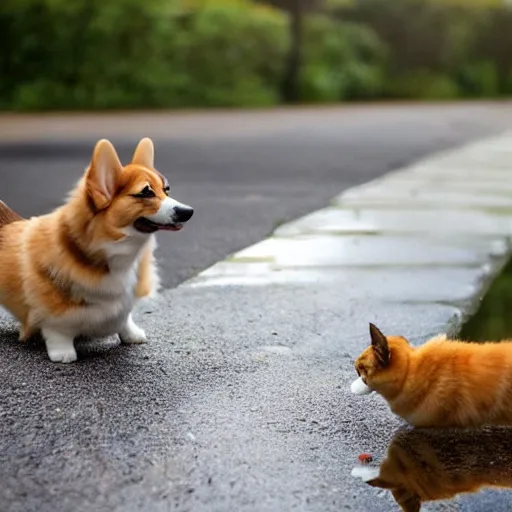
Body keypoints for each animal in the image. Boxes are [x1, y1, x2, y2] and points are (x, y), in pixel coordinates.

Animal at [0, 138, 194, 362]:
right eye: (146, 192)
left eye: (166, 189)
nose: (189, 211)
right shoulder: (51, 311)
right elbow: (57, 330)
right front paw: (63, 353)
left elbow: (125, 319)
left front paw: (132, 335)